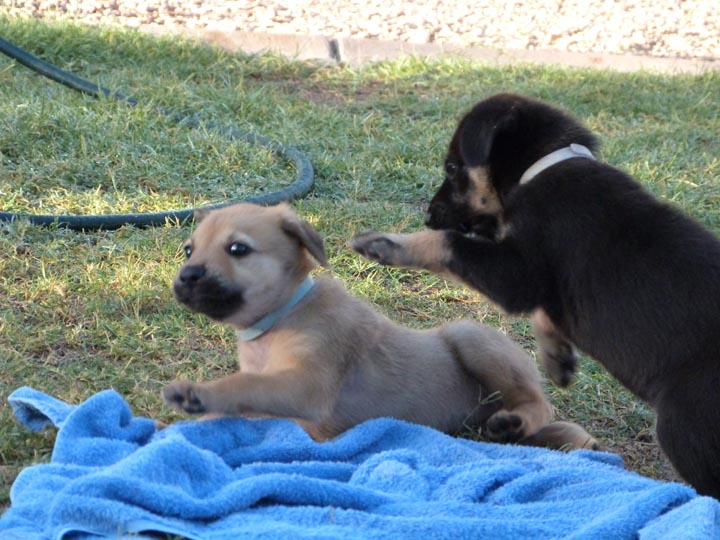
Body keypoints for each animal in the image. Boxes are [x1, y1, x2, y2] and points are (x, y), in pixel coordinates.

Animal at [163, 202, 596, 448]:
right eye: (188, 250)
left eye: (237, 249)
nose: (185, 277)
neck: (283, 315)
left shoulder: (308, 387)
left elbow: (245, 386)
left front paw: (199, 395)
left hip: (470, 336)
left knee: (541, 405)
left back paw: (515, 421)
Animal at [352, 92, 720, 498]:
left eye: (452, 167)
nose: (429, 218)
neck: (542, 168)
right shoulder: (539, 280)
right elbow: (546, 310)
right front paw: (557, 358)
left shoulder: (516, 274)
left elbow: (449, 243)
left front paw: (388, 244)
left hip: (684, 425)